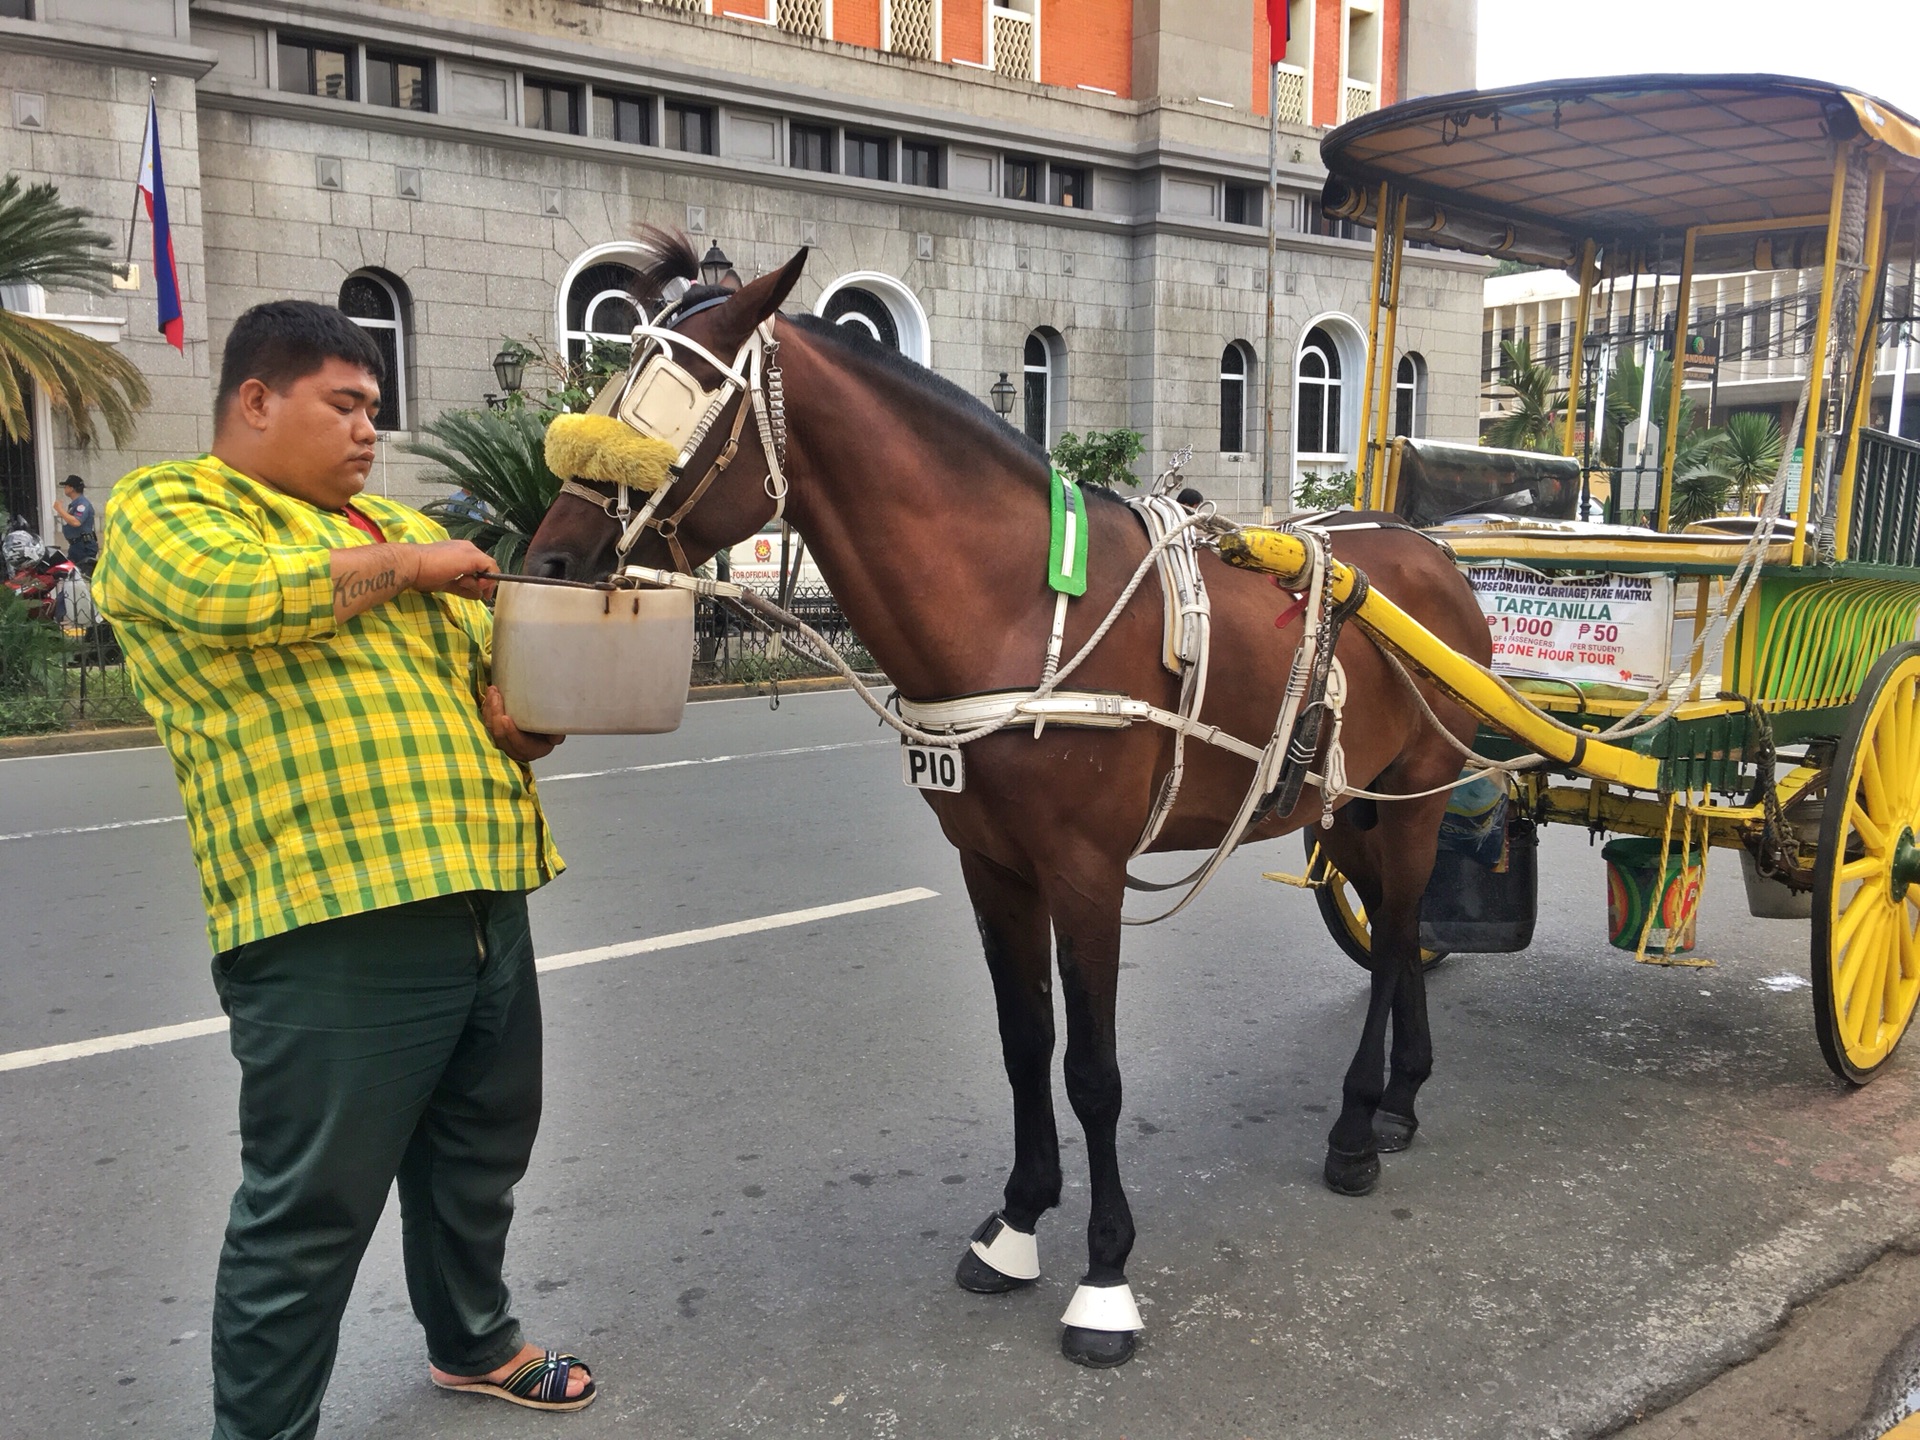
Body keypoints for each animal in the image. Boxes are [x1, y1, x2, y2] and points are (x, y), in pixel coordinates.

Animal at [529, 234, 1497, 1367]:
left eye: (665, 406)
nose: (547, 559)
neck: (1019, 607)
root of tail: (1434, 553)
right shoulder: (993, 866)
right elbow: (1025, 1044)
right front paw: (1021, 1220)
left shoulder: (1084, 876)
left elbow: (1093, 1072)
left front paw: (1106, 1273)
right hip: (1348, 805)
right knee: (1397, 920)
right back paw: (1400, 1097)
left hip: (1415, 795)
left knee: (1394, 939)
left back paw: (1354, 1123)